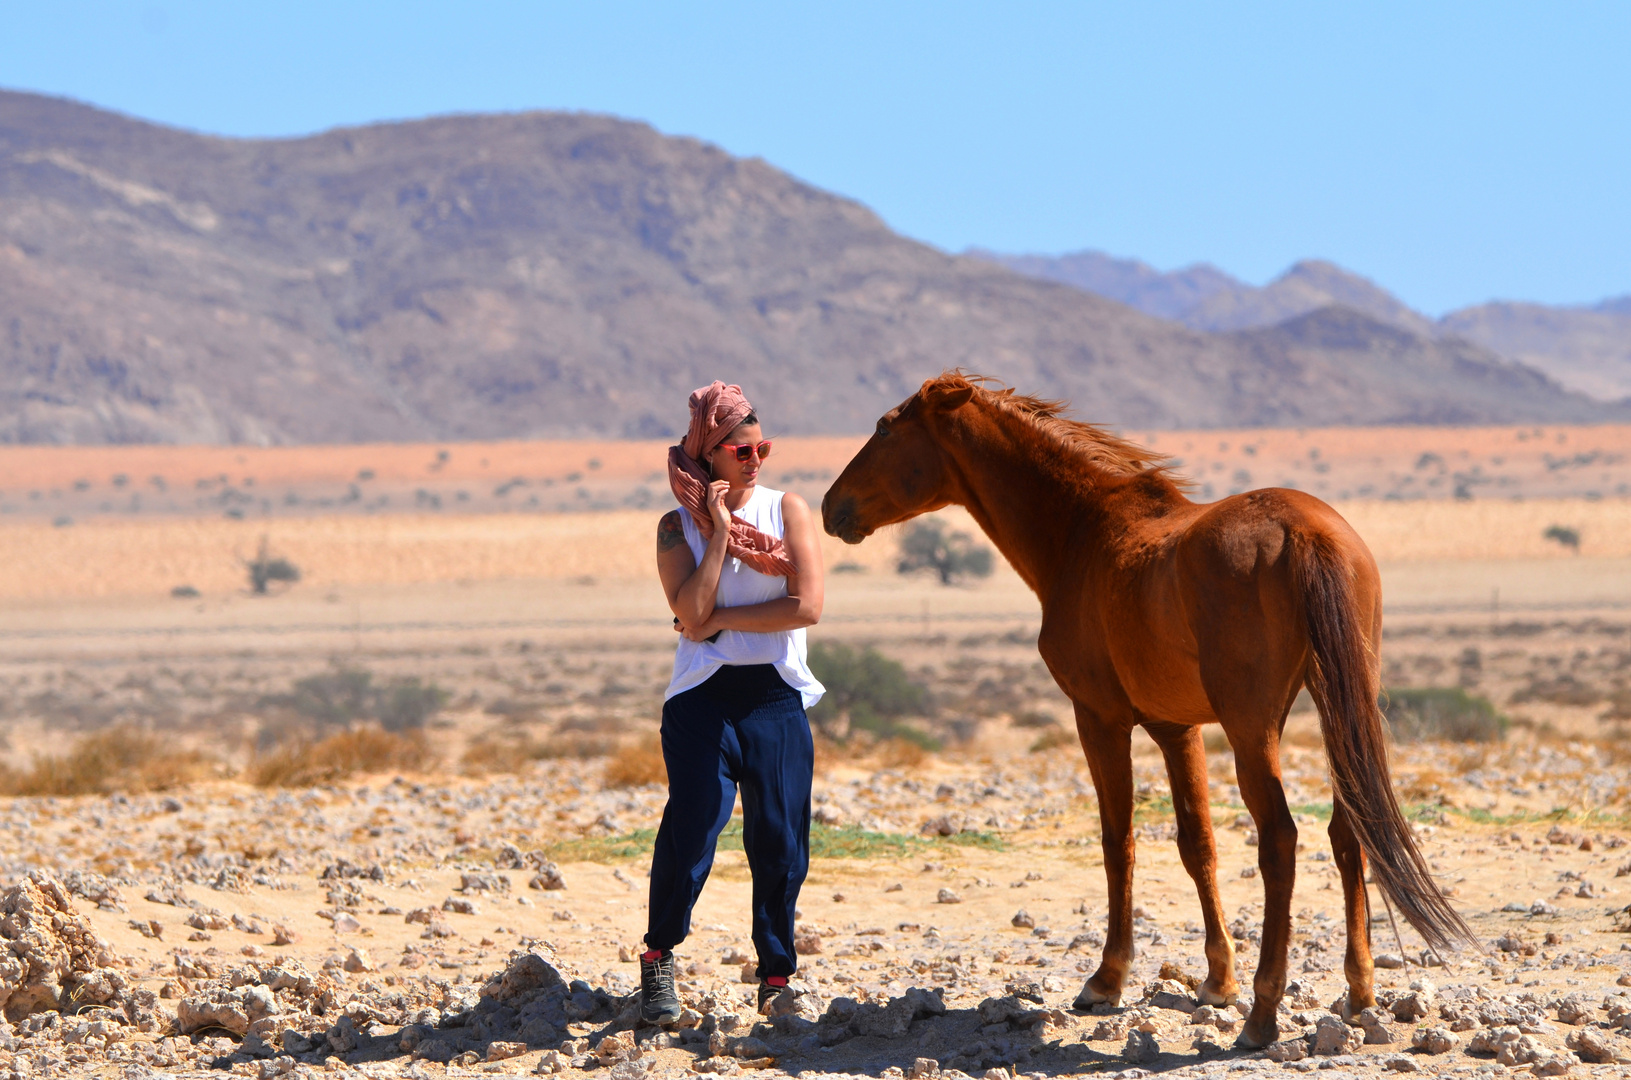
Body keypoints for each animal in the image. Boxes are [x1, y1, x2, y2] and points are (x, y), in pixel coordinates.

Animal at [822, 371, 1474, 1050]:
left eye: (884, 428)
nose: (828, 508)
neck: (1083, 532)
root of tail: (1308, 534)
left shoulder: (1100, 718)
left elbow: (1120, 840)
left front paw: (1106, 980)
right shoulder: (1175, 727)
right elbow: (1197, 843)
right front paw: (1217, 980)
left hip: (1253, 729)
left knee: (1280, 839)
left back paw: (1263, 1016)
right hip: (1336, 711)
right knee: (1348, 831)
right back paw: (1360, 992)